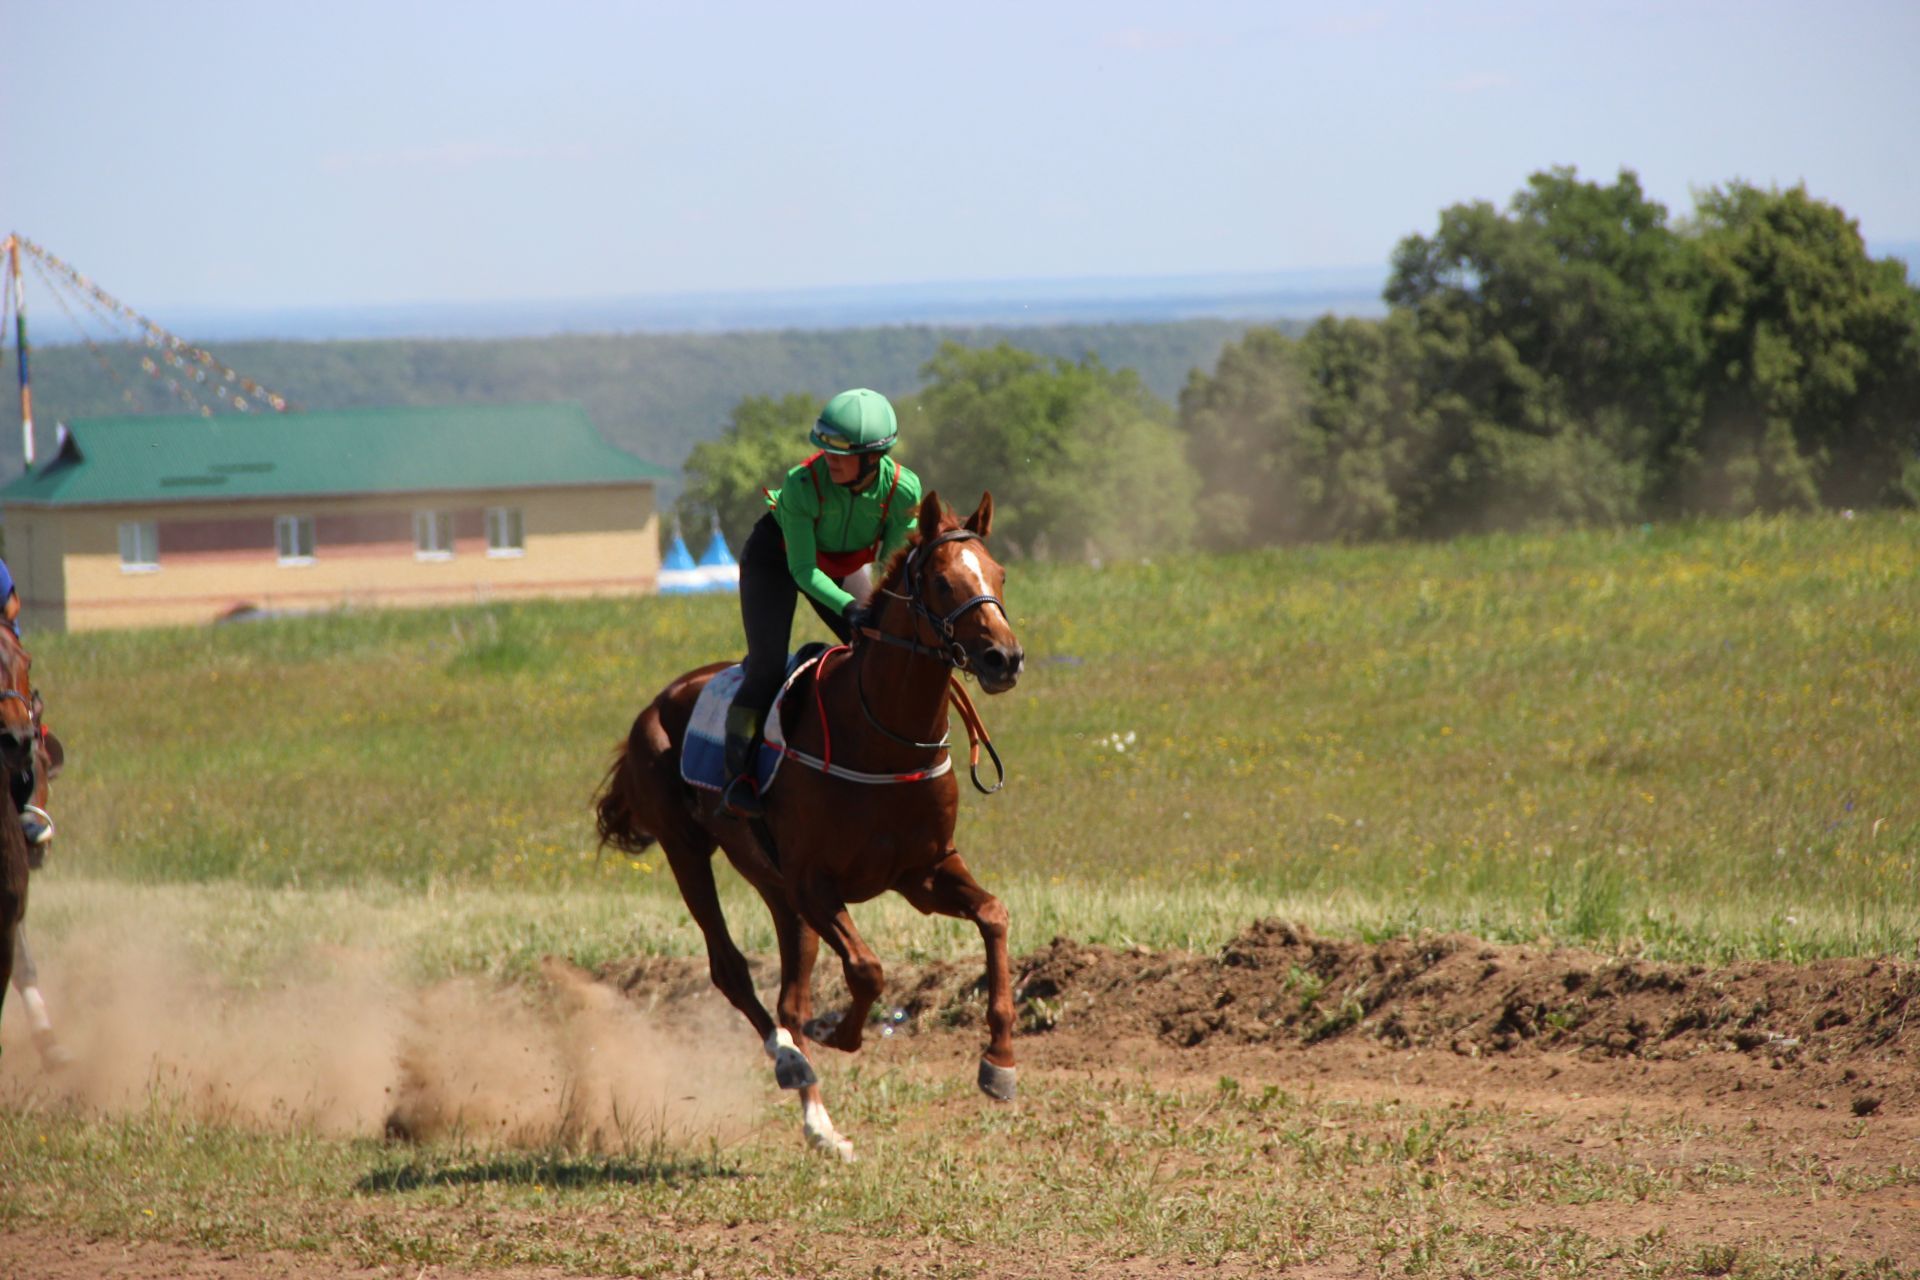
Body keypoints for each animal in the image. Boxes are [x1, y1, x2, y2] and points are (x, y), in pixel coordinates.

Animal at [595, 495, 1021, 1159]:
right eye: (943, 581)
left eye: (999, 575)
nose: (1004, 658)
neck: (880, 737)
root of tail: (656, 705)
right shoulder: (815, 882)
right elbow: (867, 969)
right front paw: (835, 1031)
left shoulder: (923, 871)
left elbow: (994, 915)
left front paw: (999, 1061)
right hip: (687, 850)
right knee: (731, 970)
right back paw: (790, 1059)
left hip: (776, 888)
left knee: (788, 994)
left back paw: (820, 1123)